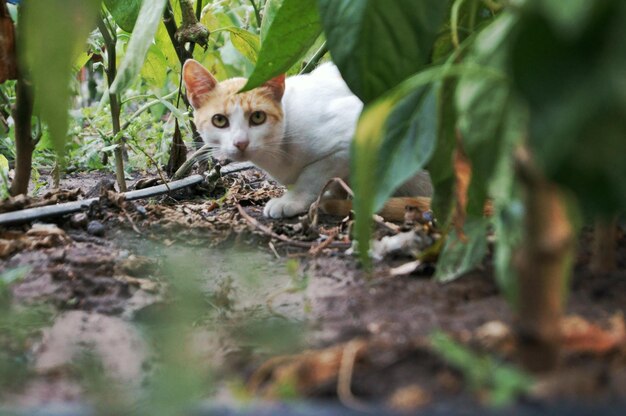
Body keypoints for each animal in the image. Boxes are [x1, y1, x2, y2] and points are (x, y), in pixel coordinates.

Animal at [180, 60, 428, 221]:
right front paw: (331, 193)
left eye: (258, 117)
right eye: (219, 120)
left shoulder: (351, 137)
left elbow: (312, 175)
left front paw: (292, 200)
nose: (241, 143)